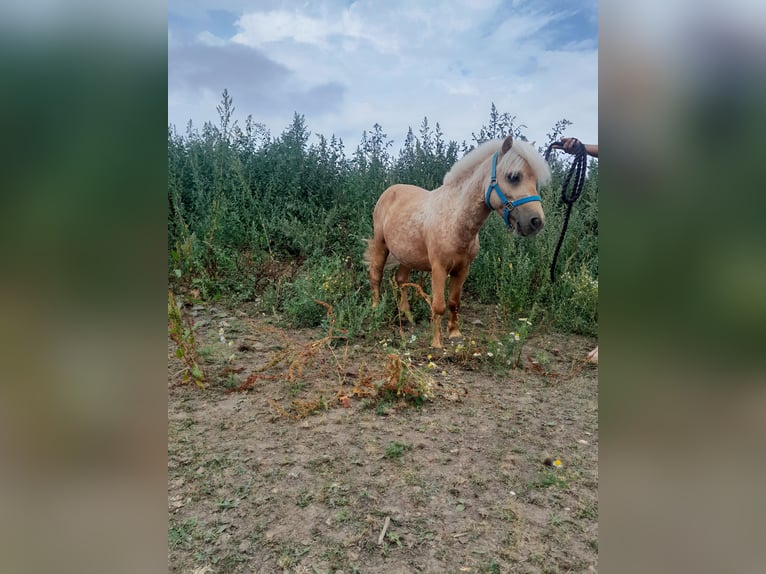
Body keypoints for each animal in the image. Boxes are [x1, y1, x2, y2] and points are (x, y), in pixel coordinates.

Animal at [366, 137, 552, 348]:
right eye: (513, 176)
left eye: (535, 181)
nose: (536, 222)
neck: (455, 218)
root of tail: (390, 190)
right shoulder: (439, 268)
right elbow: (439, 306)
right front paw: (436, 342)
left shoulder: (462, 269)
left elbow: (454, 303)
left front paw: (454, 334)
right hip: (381, 245)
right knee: (376, 276)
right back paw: (375, 311)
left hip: (407, 255)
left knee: (400, 280)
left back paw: (407, 315)